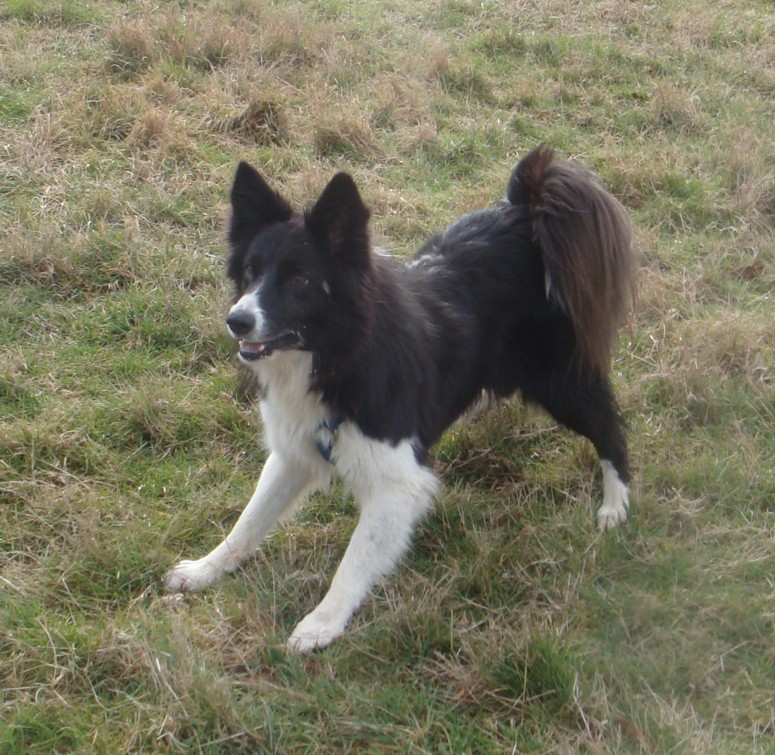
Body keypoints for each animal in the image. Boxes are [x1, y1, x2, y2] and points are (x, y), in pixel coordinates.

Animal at [165, 145, 636, 652]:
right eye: (251, 272)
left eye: (301, 281)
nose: (237, 321)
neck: (338, 357)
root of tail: (525, 210)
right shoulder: (294, 450)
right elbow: (249, 519)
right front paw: (204, 570)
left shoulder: (398, 482)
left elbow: (355, 559)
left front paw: (321, 624)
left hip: (562, 382)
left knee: (610, 431)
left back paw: (615, 506)